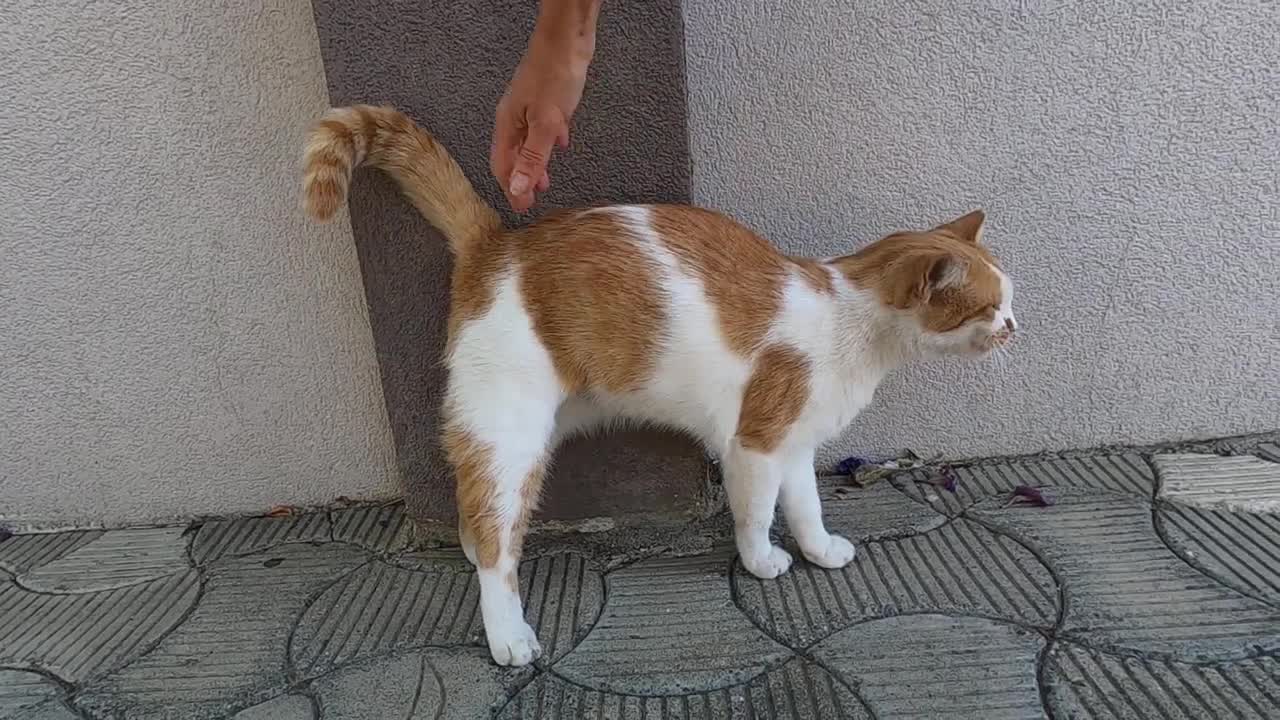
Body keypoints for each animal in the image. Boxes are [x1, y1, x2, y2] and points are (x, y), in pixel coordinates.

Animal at [302, 103, 1018, 666]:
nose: (1015, 325)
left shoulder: (794, 445)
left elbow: (806, 507)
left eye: (1006, 300)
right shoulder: (755, 444)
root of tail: (499, 243)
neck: (852, 322)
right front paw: (761, 562)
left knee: (473, 521)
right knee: (493, 539)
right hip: (512, 443)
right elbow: (757, 514)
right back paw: (508, 633)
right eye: (989, 307)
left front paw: (817, 551)